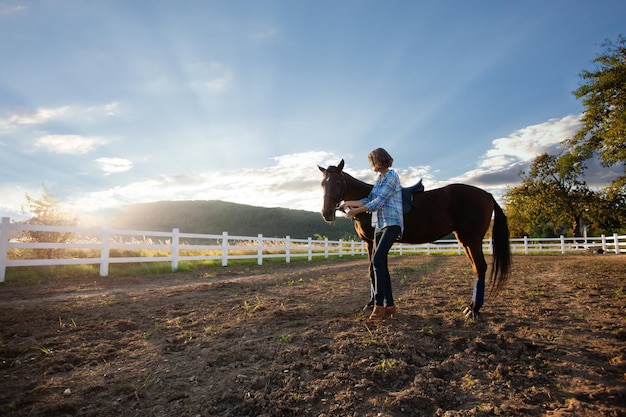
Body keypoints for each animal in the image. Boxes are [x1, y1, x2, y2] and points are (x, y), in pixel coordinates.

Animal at [320, 158, 510, 316]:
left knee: (480, 267)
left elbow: (374, 269)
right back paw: (471, 306)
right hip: (465, 239)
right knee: (476, 268)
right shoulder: (369, 242)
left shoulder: (374, 241)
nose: (327, 213)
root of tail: (487, 195)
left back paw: (474, 309)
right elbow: (372, 270)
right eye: (323, 184)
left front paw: (375, 304)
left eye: (338, 182)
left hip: (472, 238)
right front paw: (371, 303)